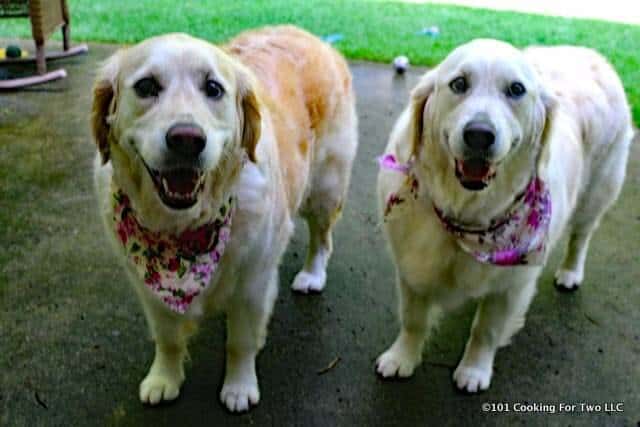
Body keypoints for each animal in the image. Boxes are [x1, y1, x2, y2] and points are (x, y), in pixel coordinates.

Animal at [90, 25, 358, 412]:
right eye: (146, 86)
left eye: (213, 88)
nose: (187, 140)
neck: (184, 231)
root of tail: (312, 36)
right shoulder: (149, 289)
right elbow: (168, 338)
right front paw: (163, 378)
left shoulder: (254, 283)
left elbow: (241, 342)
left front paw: (239, 387)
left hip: (325, 189)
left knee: (323, 239)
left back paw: (312, 274)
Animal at [378, 39, 632, 392]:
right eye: (459, 84)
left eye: (516, 90)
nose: (479, 134)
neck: (467, 217)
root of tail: (591, 53)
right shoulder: (410, 265)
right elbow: (412, 318)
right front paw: (401, 357)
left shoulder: (511, 285)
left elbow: (486, 331)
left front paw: (474, 370)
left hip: (597, 192)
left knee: (581, 237)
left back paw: (570, 272)